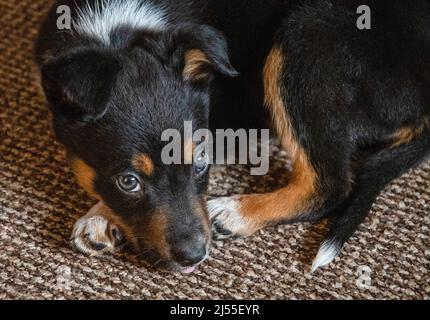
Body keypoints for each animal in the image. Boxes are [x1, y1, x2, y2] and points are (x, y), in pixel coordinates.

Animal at [37, 1, 430, 274]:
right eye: (128, 181)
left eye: (201, 163)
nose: (194, 256)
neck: (114, 32)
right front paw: (102, 215)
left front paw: (99, 214)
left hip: (308, 36)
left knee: (329, 185)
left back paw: (236, 212)